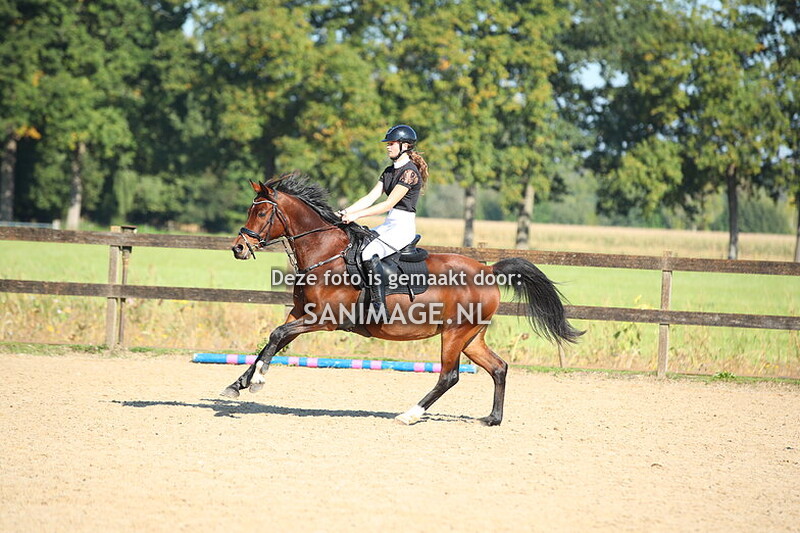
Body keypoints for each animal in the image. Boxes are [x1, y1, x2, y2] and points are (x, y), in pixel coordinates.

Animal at [223, 173, 583, 425]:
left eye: (262, 213)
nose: (238, 248)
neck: (326, 254)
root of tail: (488, 269)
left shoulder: (323, 320)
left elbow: (276, 337)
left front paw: (257, 382)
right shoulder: (299, 313)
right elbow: (272, 342)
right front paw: (238, 384)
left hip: (455, 334)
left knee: (449, 376)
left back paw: (409, 414)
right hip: (471, 337)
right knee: (498, 367)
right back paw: (492, 419)